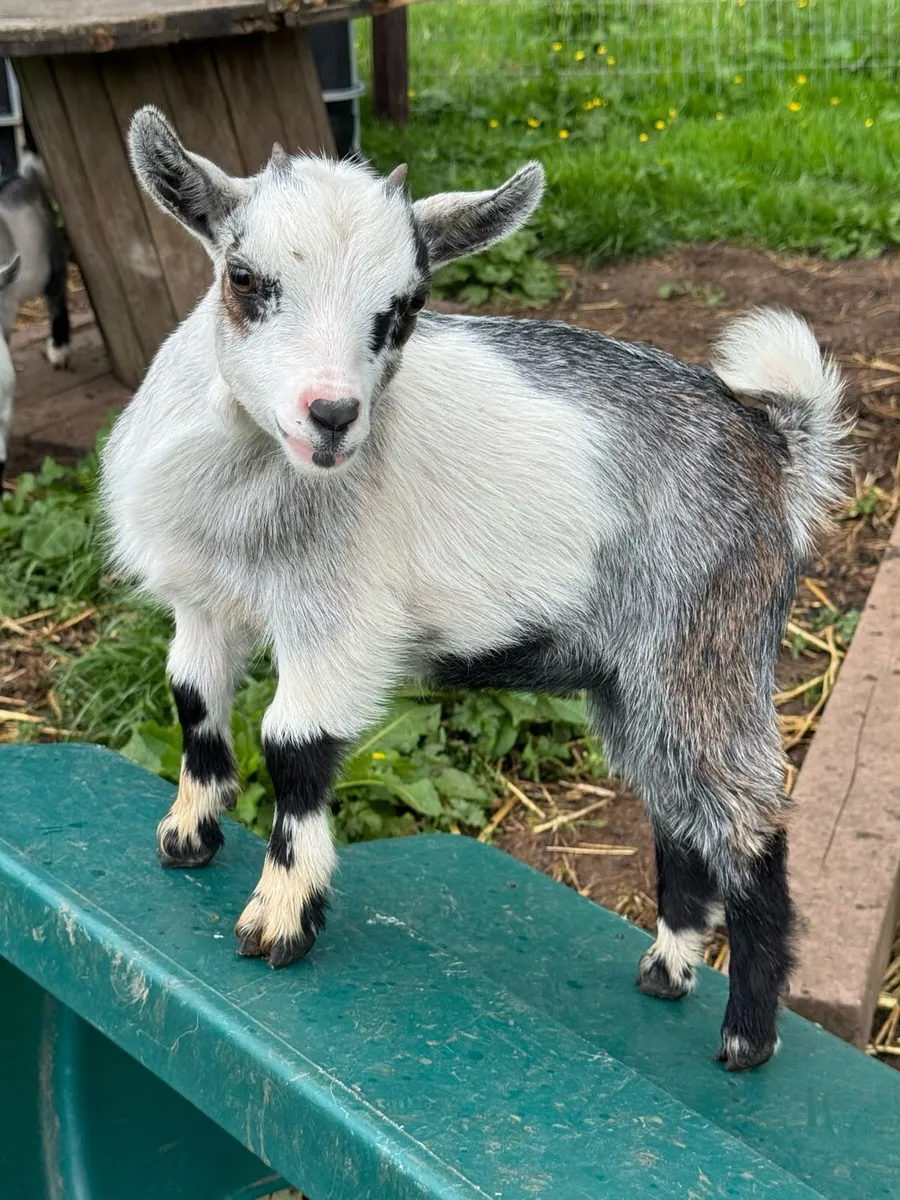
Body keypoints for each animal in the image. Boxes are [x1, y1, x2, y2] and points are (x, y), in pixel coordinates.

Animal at [101, 106, 848, 1072]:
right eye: (244, 277)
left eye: (408, 308)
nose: (331, 416)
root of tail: (775, 439)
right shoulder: (204, 602)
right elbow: (193, 700)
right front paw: (188, 837)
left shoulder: (334, 623)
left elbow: (295, 748)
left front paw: (280, 920)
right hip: (633, 676)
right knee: (678, 813)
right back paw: (668, 968)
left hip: (709, 644)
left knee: (749, 820)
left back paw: (747, 1037)